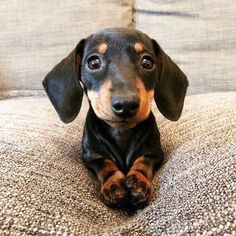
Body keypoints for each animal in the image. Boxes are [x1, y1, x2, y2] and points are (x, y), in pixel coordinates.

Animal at [42, 27, 188, 208]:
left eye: (147, 63)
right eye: (94, 63)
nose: (126, 105)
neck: (121, 133)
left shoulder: (155, 153)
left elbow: (143, 161)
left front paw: (138, 181)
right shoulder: (91, 156)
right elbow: (106, 165)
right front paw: (113, 184)